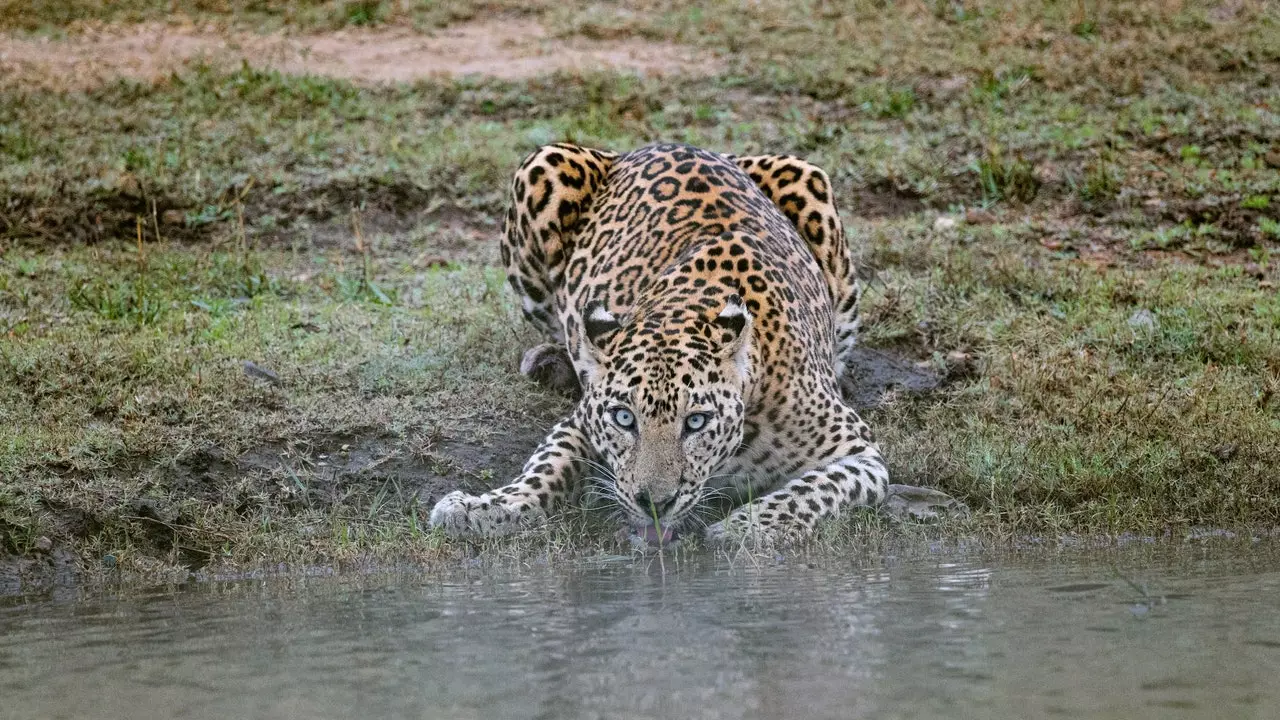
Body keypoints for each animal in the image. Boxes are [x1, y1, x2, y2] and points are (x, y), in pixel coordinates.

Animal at [430, 140, 890, 543]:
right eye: (624, 418)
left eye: (697, 422)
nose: (653, 503)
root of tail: (654, 146)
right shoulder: (580, 421)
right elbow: (546, 467)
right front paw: (485, 507)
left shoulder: (862, 455)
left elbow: (812, 492)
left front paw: (744, 528)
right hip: (542, 167)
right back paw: (551, 361)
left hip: (811, 184)